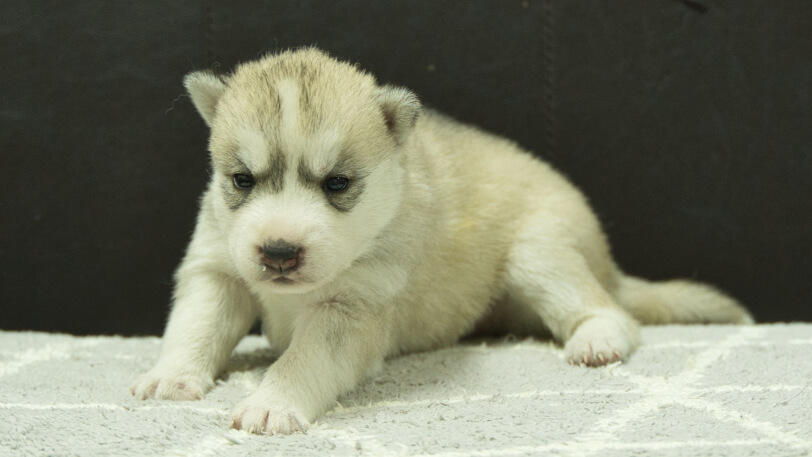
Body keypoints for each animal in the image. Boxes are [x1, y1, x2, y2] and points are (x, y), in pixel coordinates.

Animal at [130, 48, 752, 432]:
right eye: (241, 180)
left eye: (338, 184)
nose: (279, 252)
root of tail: (610, 268)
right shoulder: (216, 269)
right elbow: (195, 326)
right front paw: (171, 375)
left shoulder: (352, 306)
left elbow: (302, 361)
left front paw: (271, 402)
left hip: (539, 254)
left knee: (612, 313)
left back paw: (597, 339)